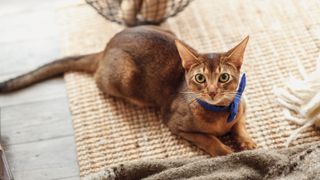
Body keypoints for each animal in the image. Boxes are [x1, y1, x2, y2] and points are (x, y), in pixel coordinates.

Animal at [0, 25, 256, 156]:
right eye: (200, 78)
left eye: (224, 77)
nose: (212, 92)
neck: (219, 113)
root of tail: (107, 46)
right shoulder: (174, 123)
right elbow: (207, 138)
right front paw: (224, 151)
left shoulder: (242, 105)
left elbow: (239, 125)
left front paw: (247, 142)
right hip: (123, 77)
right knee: (99, 80)